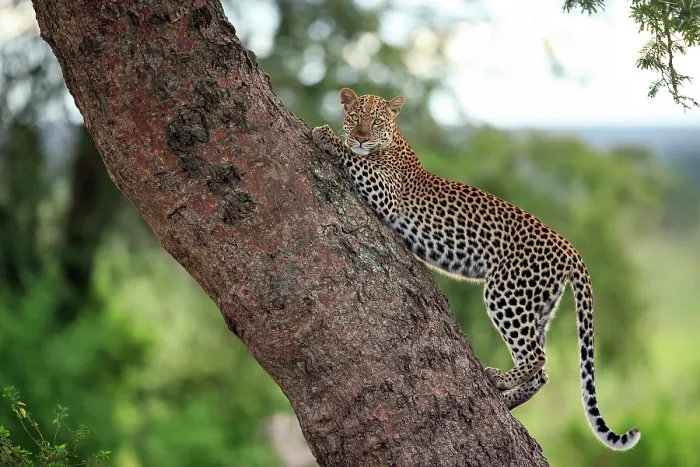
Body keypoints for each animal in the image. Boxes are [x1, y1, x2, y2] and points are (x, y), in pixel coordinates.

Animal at [311, 87, 641, 451]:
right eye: (355, 117)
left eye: (376, 121)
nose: (360, 137)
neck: (391, 141)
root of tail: (569, 248)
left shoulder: (384, 193)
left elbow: (356, 161)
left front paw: (325, 136)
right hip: (537, 305)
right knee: (542, 369)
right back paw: (504, 396)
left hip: (507, 294)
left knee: (537, 356)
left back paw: (498, 379)